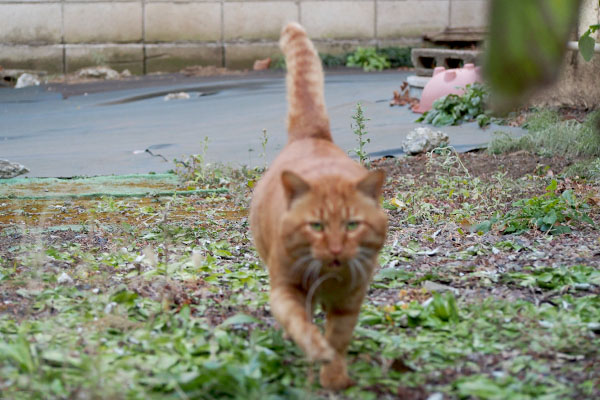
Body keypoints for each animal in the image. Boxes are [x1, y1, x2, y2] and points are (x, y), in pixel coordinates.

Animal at [250, 22, 386, 390]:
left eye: (352, 225)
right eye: (316, 226)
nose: (337, 249)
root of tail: (313, 135)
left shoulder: (350, 302)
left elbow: (338, 338)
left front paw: (334, 375)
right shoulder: (285, 290)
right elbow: (302, 324)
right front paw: (315, 350)